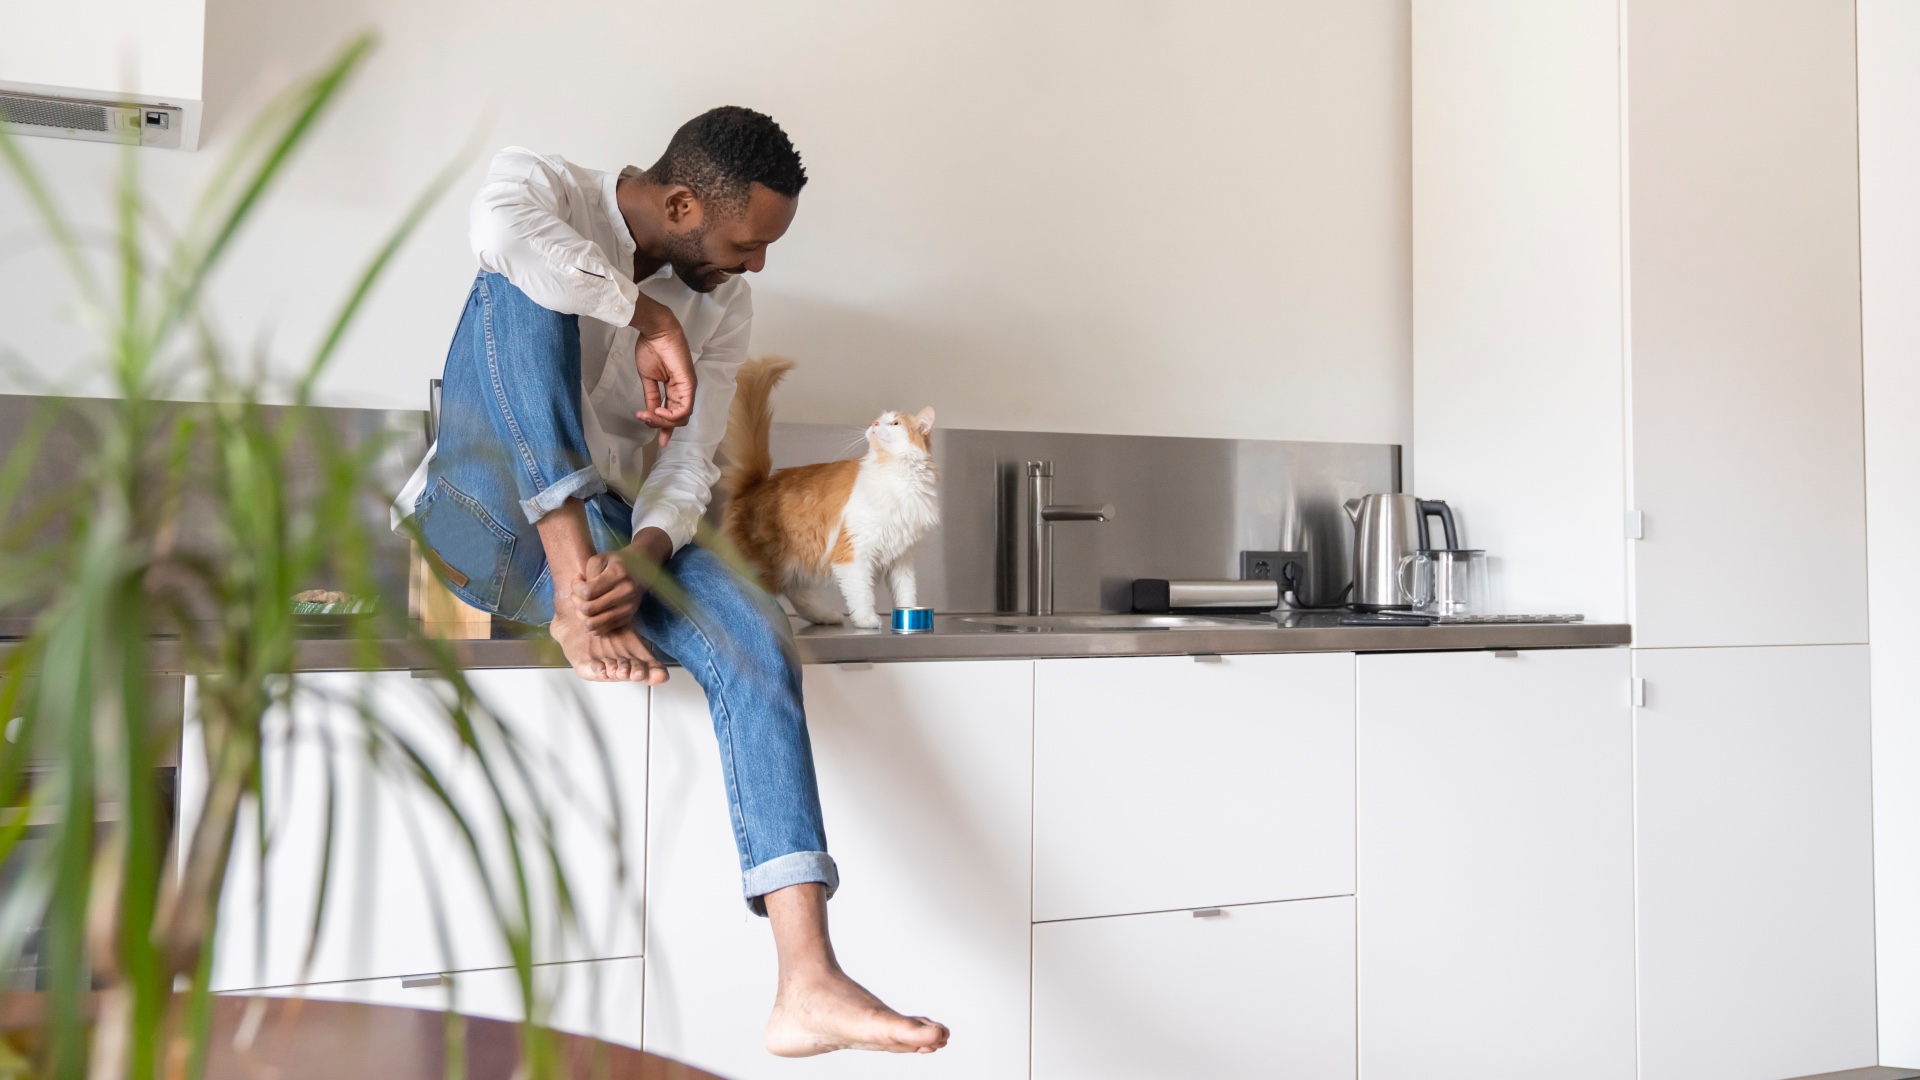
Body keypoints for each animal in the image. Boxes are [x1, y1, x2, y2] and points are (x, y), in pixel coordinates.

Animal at [718, 355, 940, 622]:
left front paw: (909, 617)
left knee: (796, 595)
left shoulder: (901, 558)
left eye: (895, 423)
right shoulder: (853, 552)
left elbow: (906, 594)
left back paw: (825, 616)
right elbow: (861, 593)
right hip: (764, 565)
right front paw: (867, 620)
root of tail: (754, 485)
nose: (874, 423)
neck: (895, 474)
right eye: (879, 420)